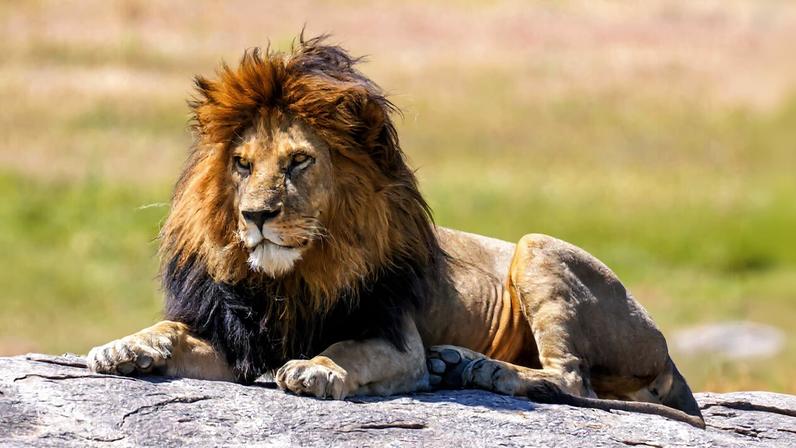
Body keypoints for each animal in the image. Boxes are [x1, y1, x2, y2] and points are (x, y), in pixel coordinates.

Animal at [87, 36, 705, 428]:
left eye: (298, 162)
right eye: (241, 164)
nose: (256, 216)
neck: (293, 278)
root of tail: (667, 351)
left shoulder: (395, 340)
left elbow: (347, 350)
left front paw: (316, 368)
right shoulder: (236, 340)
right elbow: (171, 329)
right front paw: (126, 347)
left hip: (537, 248)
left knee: (571, 380)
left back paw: (472, 366)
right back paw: (457, 363)